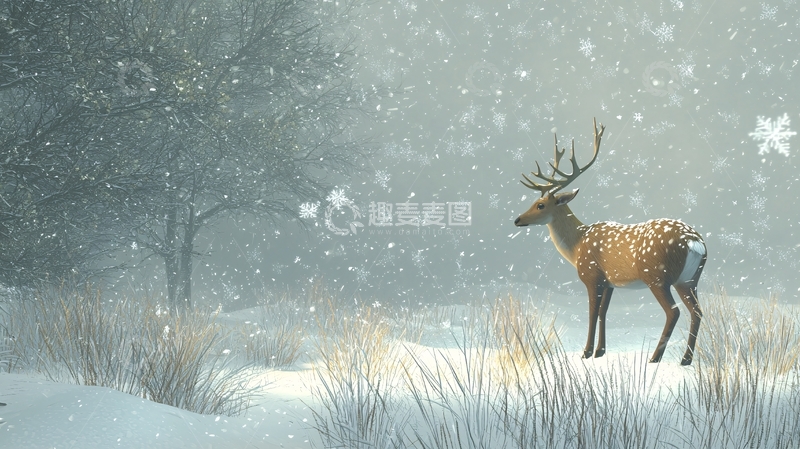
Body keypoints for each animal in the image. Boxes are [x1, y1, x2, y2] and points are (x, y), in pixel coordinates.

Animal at [514, 118, 706, 365]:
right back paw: (686, 359)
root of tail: (695, 242)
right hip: (689, 279)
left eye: (540, 205)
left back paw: (655, 358)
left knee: (674, 311)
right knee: (697, 311)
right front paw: (599, 352)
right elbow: (604, 312)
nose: (518, 220)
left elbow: (592, 312)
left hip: (658, 276)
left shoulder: (592, 277)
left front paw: (586, 353)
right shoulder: (609, 283)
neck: (577, 246)